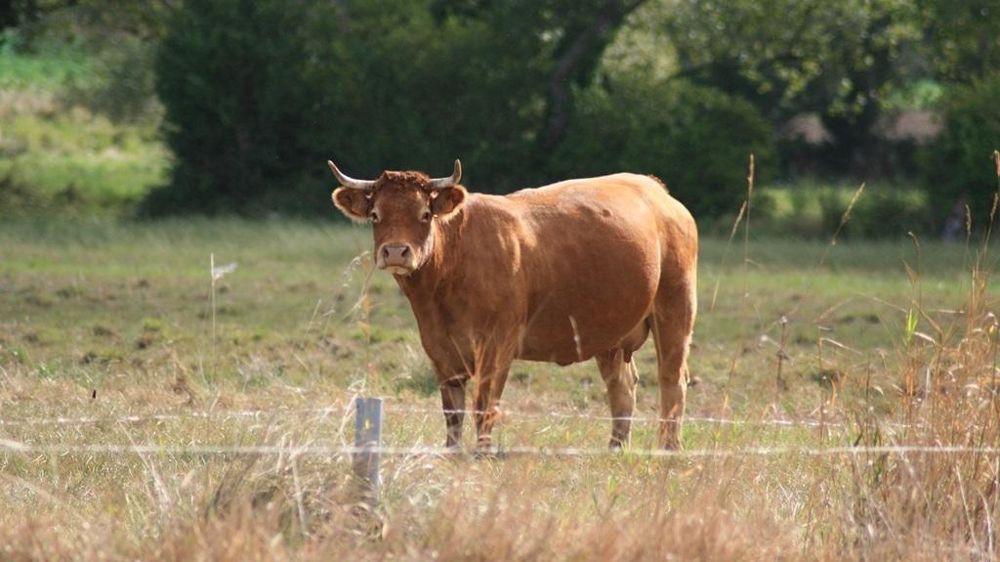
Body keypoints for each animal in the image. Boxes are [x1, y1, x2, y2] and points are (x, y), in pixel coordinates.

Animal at [328, 159, 697, 450]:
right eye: (375, 215)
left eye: (425, 214)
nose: (395, 251)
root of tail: (655, 191)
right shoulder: (440, 350)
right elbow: (453, 414)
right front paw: (452, 454)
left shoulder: (497, 344)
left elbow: (483, 406)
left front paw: (481, 455)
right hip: (610, 333)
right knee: (622, 389)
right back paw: (616, 449)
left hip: (675, 310)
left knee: (672, 383)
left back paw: (668, 450)